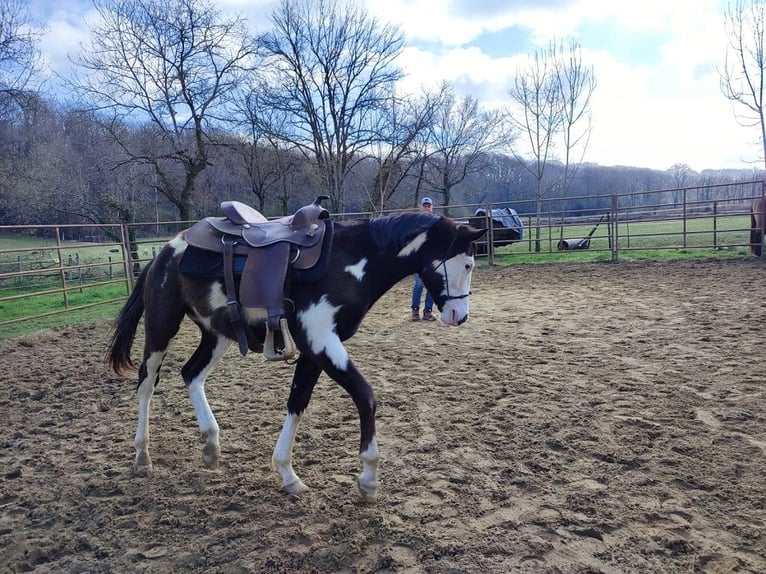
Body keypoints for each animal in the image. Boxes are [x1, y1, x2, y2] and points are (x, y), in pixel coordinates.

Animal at [106, 206, 486, 502]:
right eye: (468, 264)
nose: (461, 316)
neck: (349, 262)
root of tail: (165, 252)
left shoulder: (313, 351)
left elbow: (297, 403)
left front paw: (288, 475)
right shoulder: (321, 342)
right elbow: (366, 397)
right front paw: (368, 479)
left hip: (217, 335)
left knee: (191, 374)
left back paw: (211, 446)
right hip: (161, 327)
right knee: (146, 384)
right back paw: (142, 456)